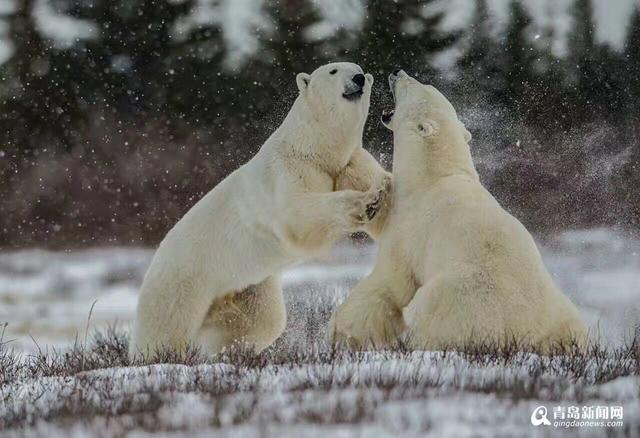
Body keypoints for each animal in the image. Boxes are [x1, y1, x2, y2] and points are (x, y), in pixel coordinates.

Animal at [130, 62, 392, 359]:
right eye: (334, 71)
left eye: (360, 70)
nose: (358, 78)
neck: (315, 149)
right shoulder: (287, 170)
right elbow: (298, 213)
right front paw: (368, 201)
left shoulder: (348, 163)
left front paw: (384, 189)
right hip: (181, 282)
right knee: (164, 329)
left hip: (248, 287)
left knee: (262, 321)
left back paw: (231, 351)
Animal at [328, 70, 588, 352]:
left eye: (414, 85)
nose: (397, 72)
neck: (436, 174)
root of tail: (522, 337)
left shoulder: (410, 227)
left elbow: (390, 283)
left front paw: (340, 332)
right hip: (561, 311)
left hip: (458, 299)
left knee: (425, 315)